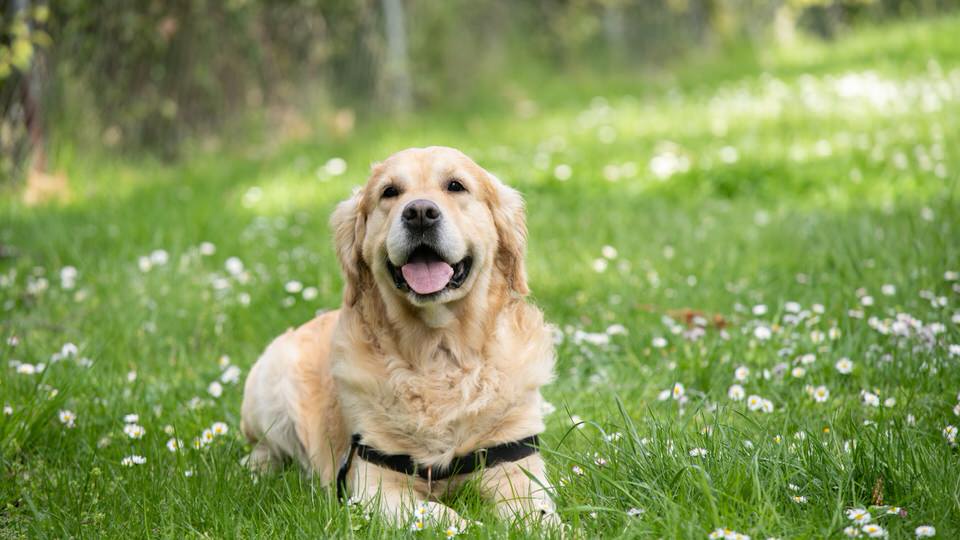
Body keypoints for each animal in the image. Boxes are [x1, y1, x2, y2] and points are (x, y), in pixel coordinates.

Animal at [239, 146, 556, 524]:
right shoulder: (376, 486)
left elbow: (538, 514)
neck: (439, 353)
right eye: (390, 192)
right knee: (264, 447)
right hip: (270, 381)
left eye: (456, 185)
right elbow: (442, 515)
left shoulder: (516, 465)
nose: (420, 213)